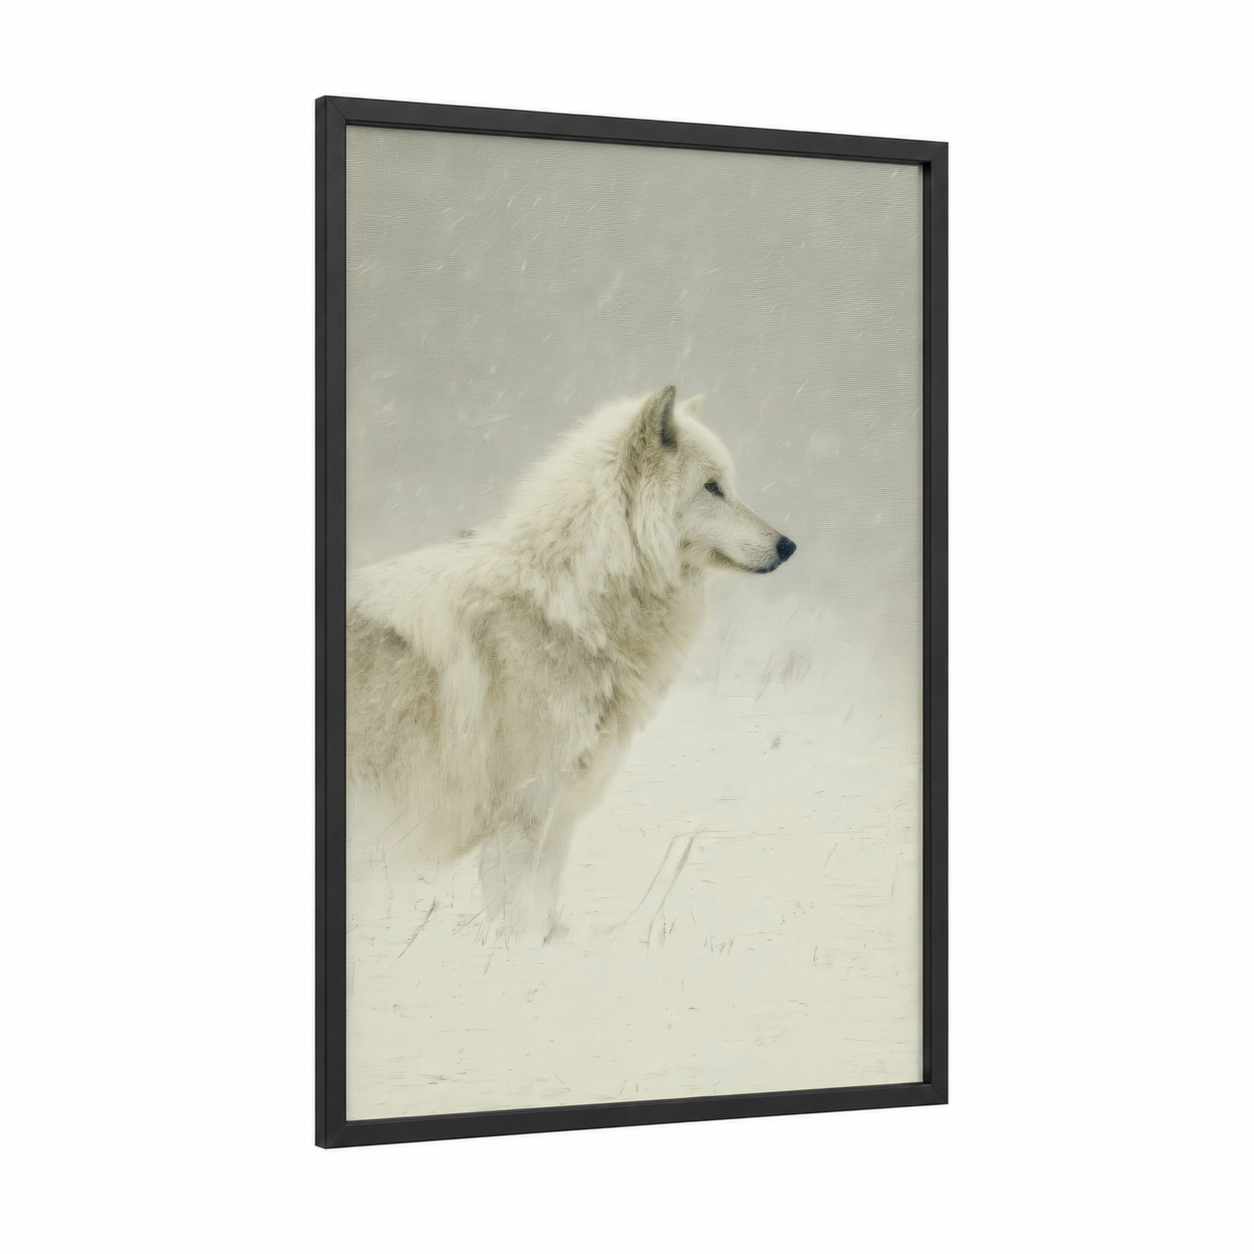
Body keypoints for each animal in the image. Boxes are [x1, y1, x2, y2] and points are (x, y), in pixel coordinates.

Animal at [347, 386, 795, 940]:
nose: (788, 546)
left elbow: (543, 920)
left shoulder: (556, 823)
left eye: (729, 486)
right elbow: (516, 928)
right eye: (712, 488)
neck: (569, 606)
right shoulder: (518, 823)